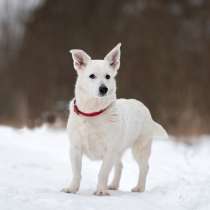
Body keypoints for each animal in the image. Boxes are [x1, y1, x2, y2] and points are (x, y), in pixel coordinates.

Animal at [63, 42, 168, 195]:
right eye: (92, 76)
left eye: (108, 76)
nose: (103, 89)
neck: (93, 112)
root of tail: (143, 107)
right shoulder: (75, 148)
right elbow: (77, 172)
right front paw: (72, 188)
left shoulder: (110, 150)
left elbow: (102, 172)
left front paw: (101, 191)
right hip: (119, 150)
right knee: (120, 165)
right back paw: (113, 185)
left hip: (140, 149)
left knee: (144, 167)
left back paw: (139, 187)